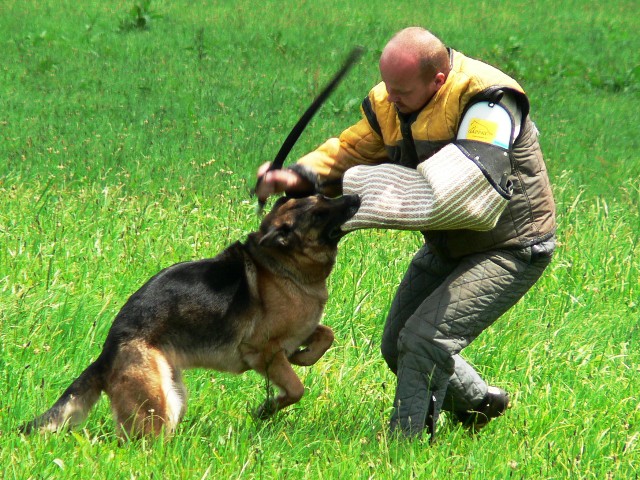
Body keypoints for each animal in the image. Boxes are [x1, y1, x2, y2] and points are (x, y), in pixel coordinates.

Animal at [20, 193, 360, 436]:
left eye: (324, 196)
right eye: (318, 213)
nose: (355, 196)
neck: (283, 264)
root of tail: (107, 354)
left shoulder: (299, 332)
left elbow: (325, 335)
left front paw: (304, 356)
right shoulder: (262, 351)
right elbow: (295, 389)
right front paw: (267, 409)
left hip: (174, 393)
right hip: (159, 403)